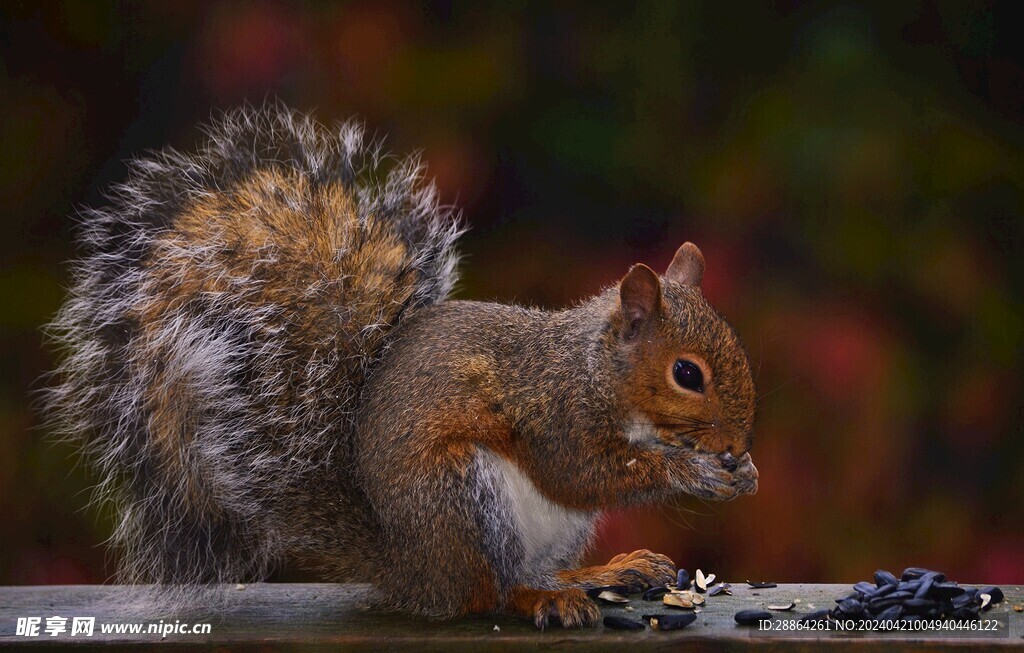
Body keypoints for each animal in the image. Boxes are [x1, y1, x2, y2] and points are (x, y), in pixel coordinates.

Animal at [44, 106, 757, 630]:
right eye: (687, 375)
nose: (733, 445)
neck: (596, 370)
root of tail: (405, 567)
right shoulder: (554, 410)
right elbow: (579, 471)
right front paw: (693, 471)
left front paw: (739, 471)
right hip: (459, 495)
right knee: (486, 593)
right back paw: (540, 597)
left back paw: (598, 574)